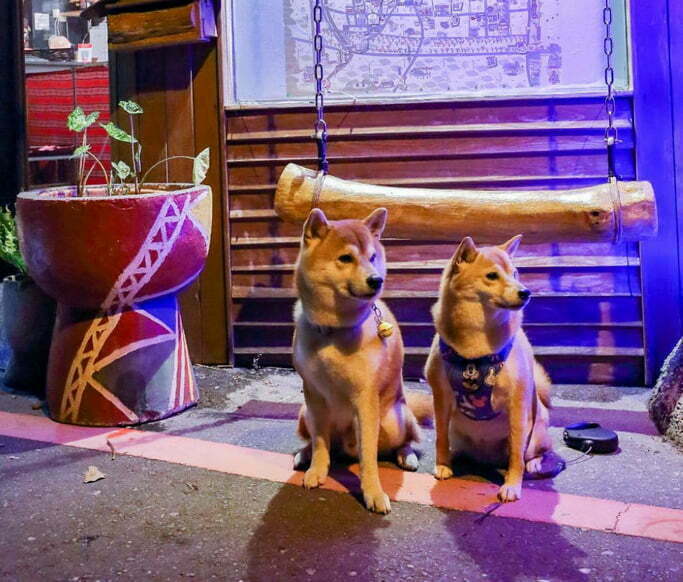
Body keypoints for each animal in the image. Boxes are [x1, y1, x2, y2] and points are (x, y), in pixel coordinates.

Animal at [291, 207, 427, 514]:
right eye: (345, 258)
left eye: (372, 257)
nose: (376, 280)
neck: (332, 331)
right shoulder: (313, 394)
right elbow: (320, 442)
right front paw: (317, 470)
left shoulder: (365, 398)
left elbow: (369, 457)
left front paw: (373, 492)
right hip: (303, 413)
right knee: (322, 442)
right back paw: (303, 455)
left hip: (395, 418)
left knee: (403, 442)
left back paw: (407, 456)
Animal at [425, 235, 554, 502]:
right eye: (492, 276)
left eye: (515, 273)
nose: (525, 292)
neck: (475, 349)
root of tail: (486, 459)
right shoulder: (440, 397)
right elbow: (440, 437)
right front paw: (442, 464)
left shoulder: (517, 403)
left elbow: (516, 454)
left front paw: (512, 485)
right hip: (456, 429)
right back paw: (455, 457)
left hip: (536, 432)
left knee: (533, 452)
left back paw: (533, 463)